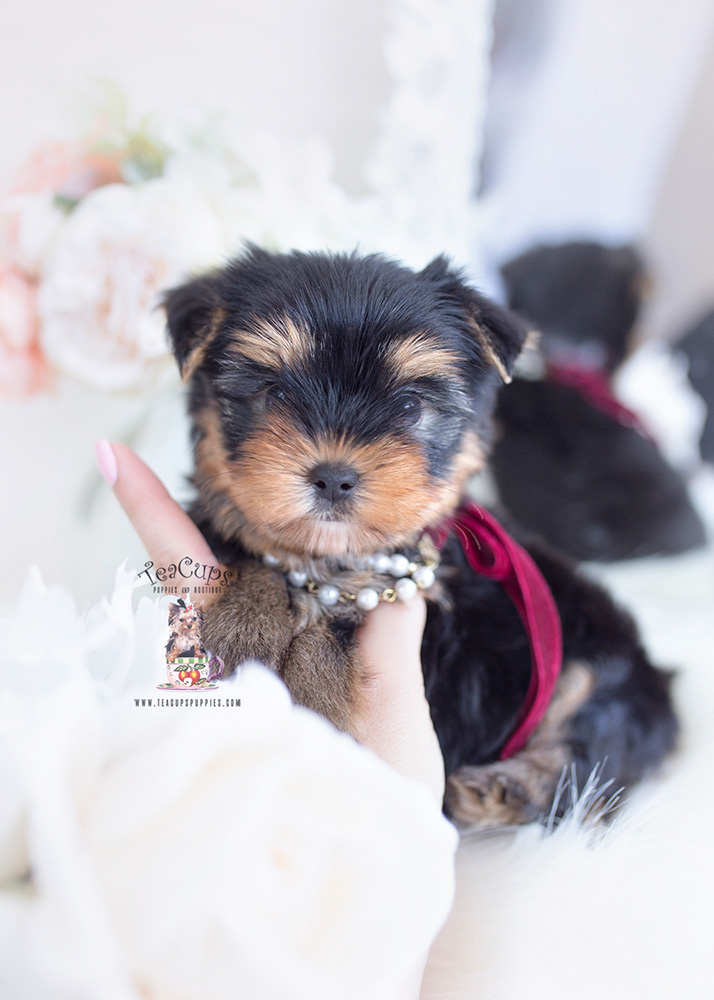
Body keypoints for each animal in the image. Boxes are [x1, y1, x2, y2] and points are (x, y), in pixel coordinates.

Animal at [164, 250, 676, 828]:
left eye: (409, 406)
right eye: (275, 394)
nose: (333, 477)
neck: (333, 556)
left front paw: (301, 690)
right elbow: (255, 554)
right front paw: (244, 620)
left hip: (598, 656)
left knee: (594, 742)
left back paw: (504, 788)